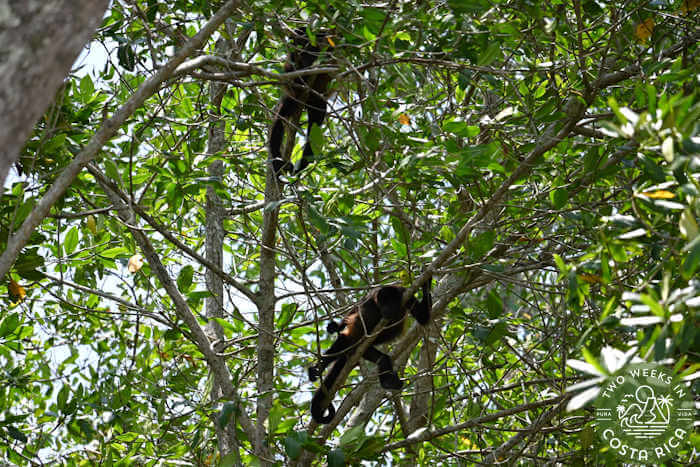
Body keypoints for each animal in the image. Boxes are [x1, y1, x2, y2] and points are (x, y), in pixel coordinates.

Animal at [308, 280, 432, 424]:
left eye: (391, 303)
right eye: (384, 303)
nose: (386, 309)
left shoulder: (407, 296)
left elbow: (423, 317)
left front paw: (427, 283)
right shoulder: (371, 298)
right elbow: (355, 310)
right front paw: (337, 326)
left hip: (366, 350)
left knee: (383, 359)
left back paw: (388, 382)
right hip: (353, 341)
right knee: (343, 342)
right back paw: (319, 367)